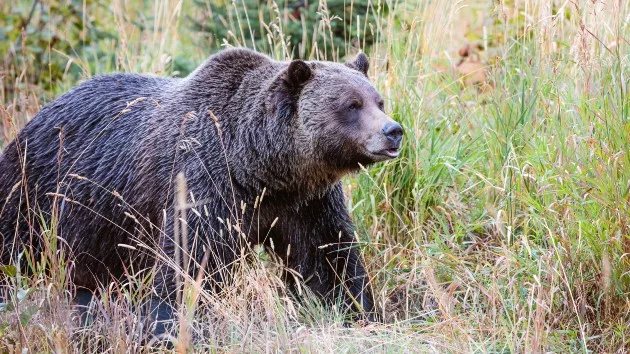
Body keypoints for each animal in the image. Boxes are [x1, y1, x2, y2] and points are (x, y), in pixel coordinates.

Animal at [0, 48, 404, 334]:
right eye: (351, 105)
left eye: (378, 100)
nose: (393, 131)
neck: (259, 168)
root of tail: (40, 112)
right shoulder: (205, 178)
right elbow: (190, 258)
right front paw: (169, 323)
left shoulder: (306, 201)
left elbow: (327, 256)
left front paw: (356, 309)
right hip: (41, 191)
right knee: (15, 247)